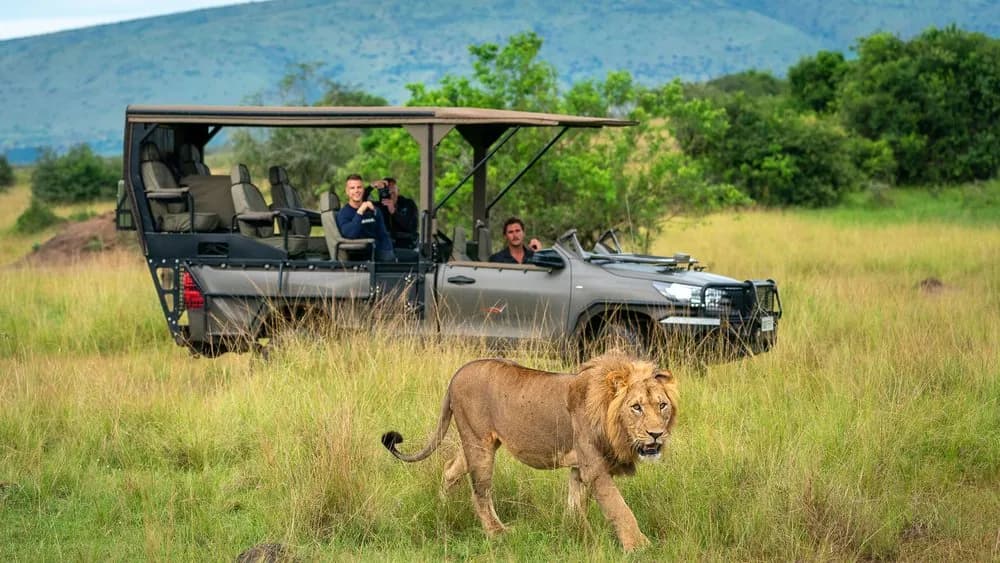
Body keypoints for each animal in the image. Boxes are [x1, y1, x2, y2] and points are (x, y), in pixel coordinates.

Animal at [380, 351, 678, 551]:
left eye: (662, 405)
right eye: (636, 407)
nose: (656, 434)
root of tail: (458, 373)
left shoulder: (578, 467)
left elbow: (575, 503)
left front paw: (575, 533)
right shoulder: (594, 468)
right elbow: (619, 508)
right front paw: (639, 546)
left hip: (475, 443)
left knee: (450, 470)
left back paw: (444, 507)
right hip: (479, 445)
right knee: (480, 492)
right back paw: (498, 533)